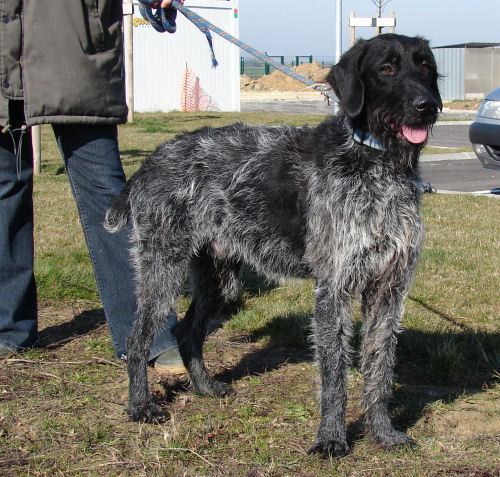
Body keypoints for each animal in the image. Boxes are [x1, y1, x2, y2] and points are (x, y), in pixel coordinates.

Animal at [104, 34, 442, 458]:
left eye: (425, 66)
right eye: (386, 68)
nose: (426, 106)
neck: (377, 164)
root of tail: (150, 162)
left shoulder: (388, 289)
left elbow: (379, 367)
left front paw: (382, 432)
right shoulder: (333, 289)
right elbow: (334, 373)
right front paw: (331, 437)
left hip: (220, 280)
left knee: (187, 332)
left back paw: (204, 388)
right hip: (163, 269)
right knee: (137, 339)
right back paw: (140, 406)